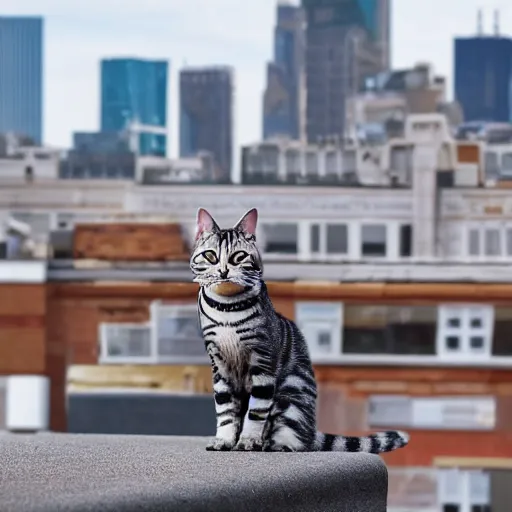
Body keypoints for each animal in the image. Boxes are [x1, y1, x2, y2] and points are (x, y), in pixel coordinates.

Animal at [190, 206, 410, 454]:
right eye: (210, 256)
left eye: (238, 257)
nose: (224, 271)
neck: (226, 309)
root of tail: (312, 431)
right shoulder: (219, 364)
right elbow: (226, 411)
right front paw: (225, 440)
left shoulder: (263, 361)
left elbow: (256, 412)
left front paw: (248, 441)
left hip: (291, 395)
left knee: (295, 440)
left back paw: (273, 444)